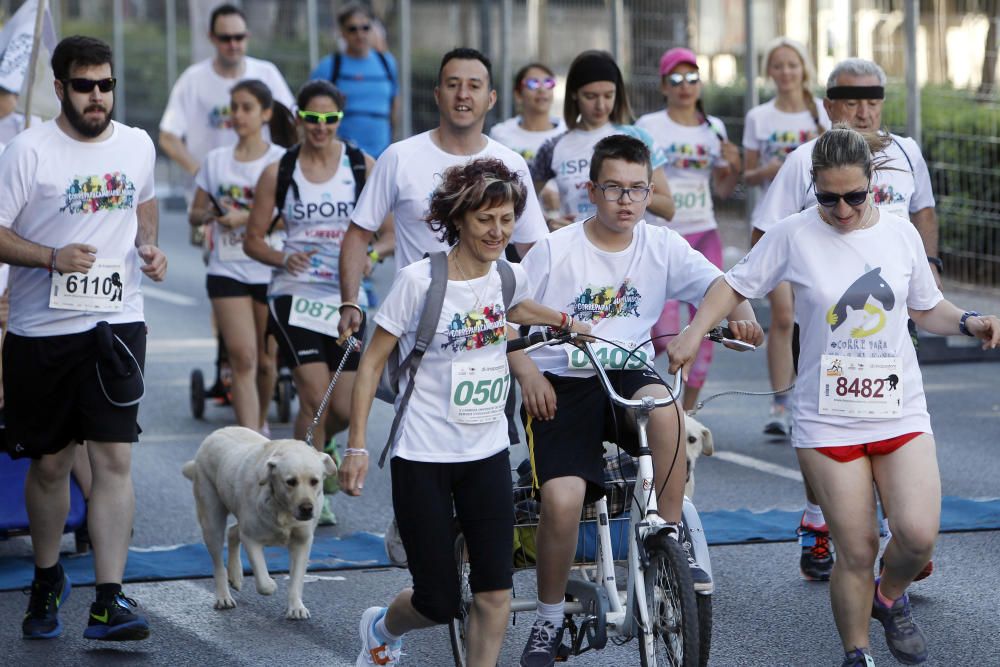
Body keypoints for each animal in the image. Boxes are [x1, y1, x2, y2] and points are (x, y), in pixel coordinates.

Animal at [181, 428, 336, 620]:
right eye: (291, 482)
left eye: (314, 481)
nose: (307, 508)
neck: (282, 508)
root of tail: (216, 432)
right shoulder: (251, 539)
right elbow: (263, 582)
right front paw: (271, 584)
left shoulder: (302, 541)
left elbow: (297, 579)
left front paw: (296, 607)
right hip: (211, 520)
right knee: (218, 562)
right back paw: (224, 597)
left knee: (233, 532)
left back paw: (236, 575)